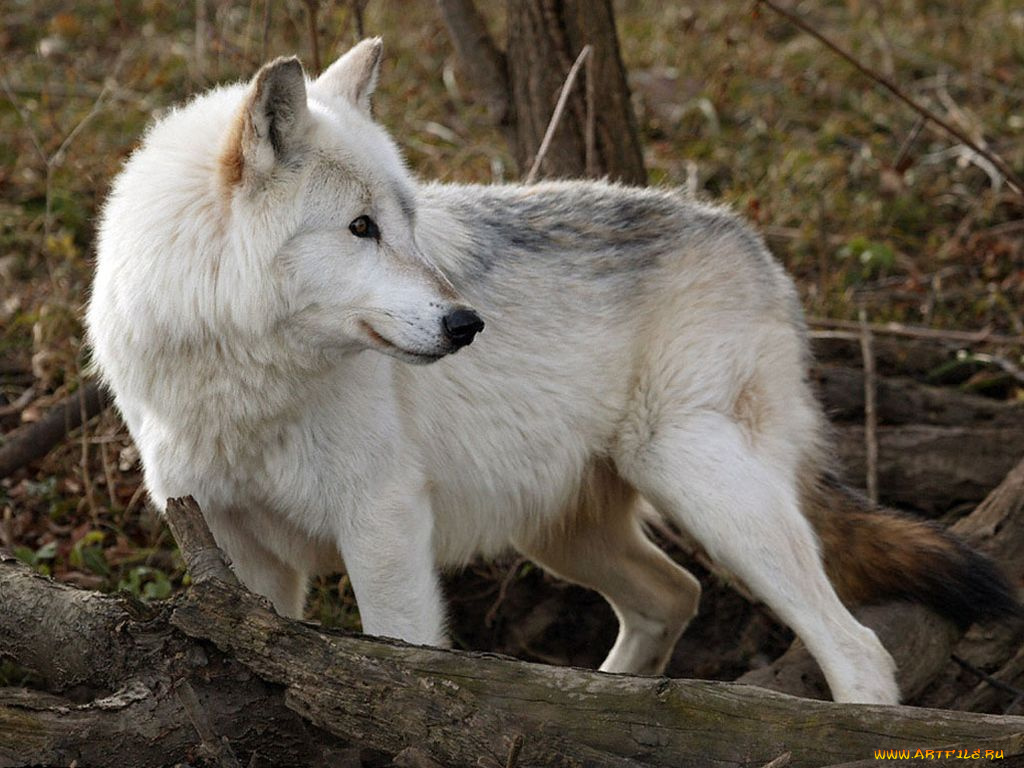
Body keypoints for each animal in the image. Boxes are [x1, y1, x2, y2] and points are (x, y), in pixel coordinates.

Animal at [88, 40, 1015, 704]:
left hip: (699, 482)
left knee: (857, 651)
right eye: (359, 227)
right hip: (564, 530)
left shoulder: (382, 525)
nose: (466, 324)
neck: (242, 378)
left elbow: (404, 662)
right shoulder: (239, 555)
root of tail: (750, 241)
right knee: (673, 595)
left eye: (407, 221)